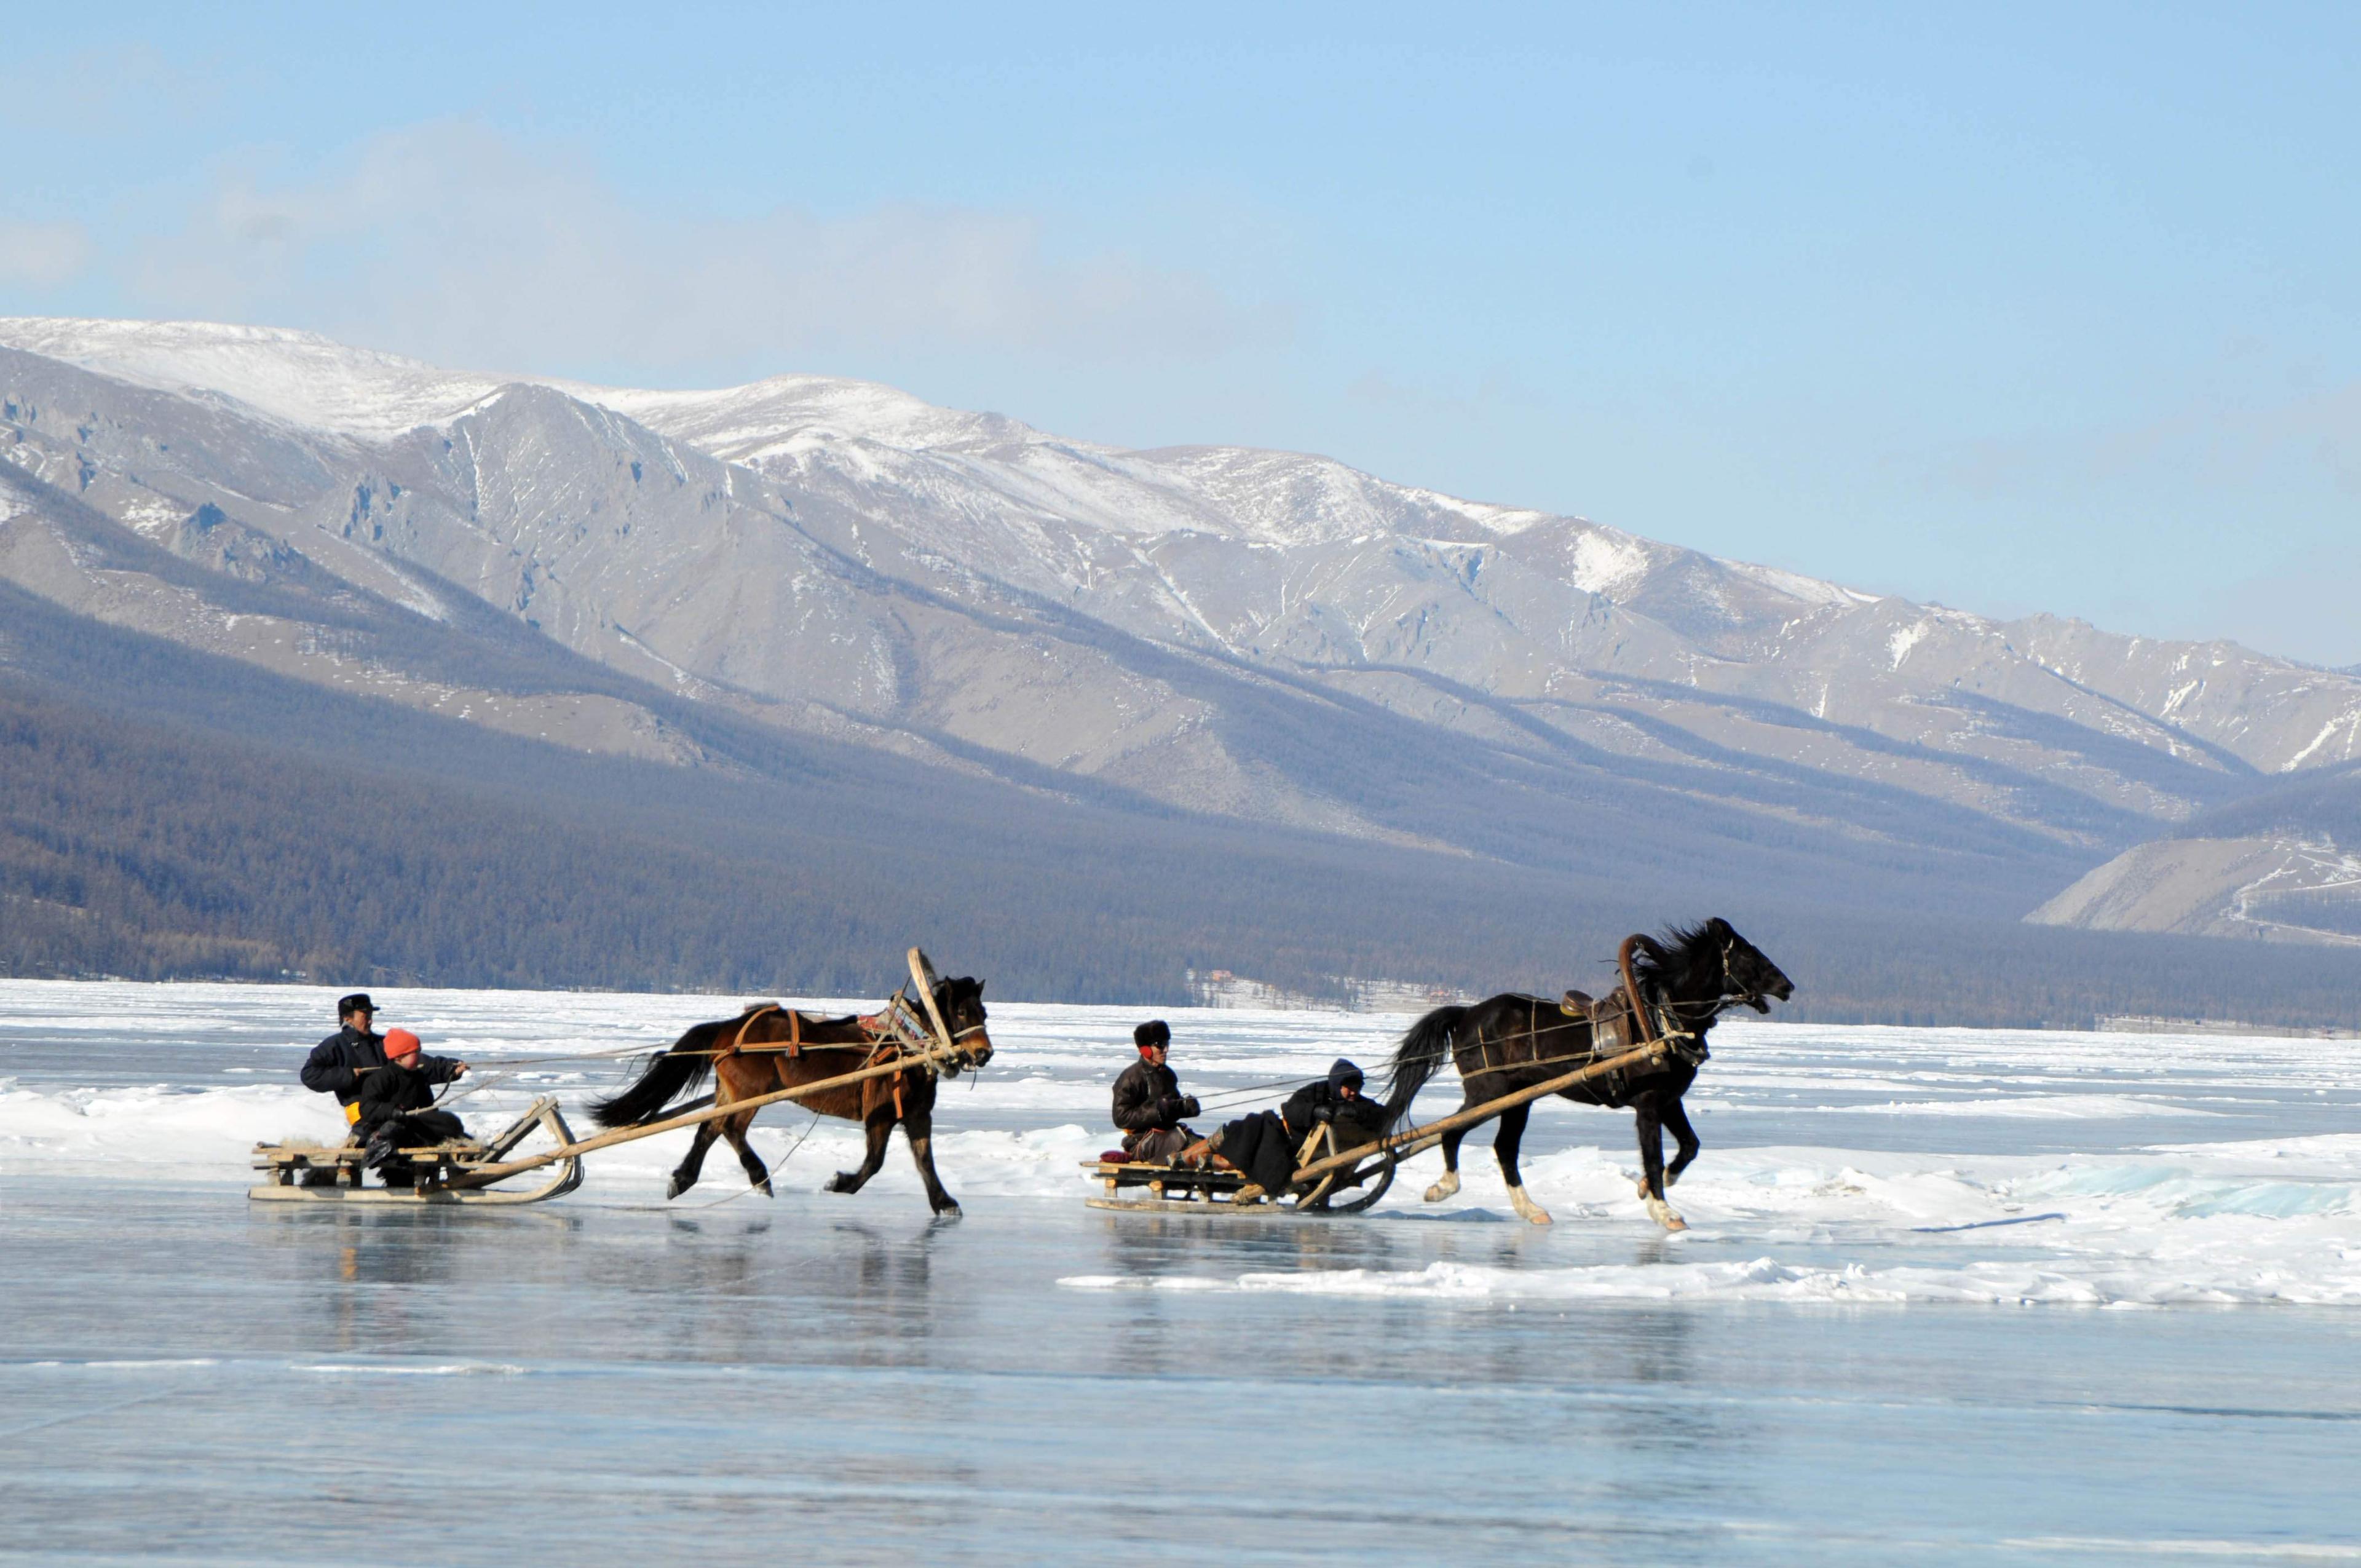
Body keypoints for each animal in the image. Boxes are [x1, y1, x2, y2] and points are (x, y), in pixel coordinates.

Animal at [599, 968, 996, 1209]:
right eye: (961, 1012)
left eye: (985, 1012)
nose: (984, 1053)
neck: (907, 1045)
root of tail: (730, 1027)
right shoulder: (880, 1112)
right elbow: (874, 1162)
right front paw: (840, 1183)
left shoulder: (917, 1114)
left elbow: (925, 1160)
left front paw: (944, 1202)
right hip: (749, 1092)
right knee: (730, 1128)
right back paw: (759, 1177)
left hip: (732, 1092)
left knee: (710, 1129)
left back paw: (683, 1179)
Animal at [1378, 921, 1785, 1237]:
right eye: (1748, 954)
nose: (1787, 986)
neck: (1660, 1019)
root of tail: (1466, 1014)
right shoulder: (1649, 1103)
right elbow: (1653, 1156)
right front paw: (1664, 1211)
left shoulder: (1670, 1099)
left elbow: (1690, 1146)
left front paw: (1648, 1188)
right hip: (1487, 1092)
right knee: (1452, 1131)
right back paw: (1443, 1188)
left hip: (1519, 1097)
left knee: (1504, 1148)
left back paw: (1532, 1211)